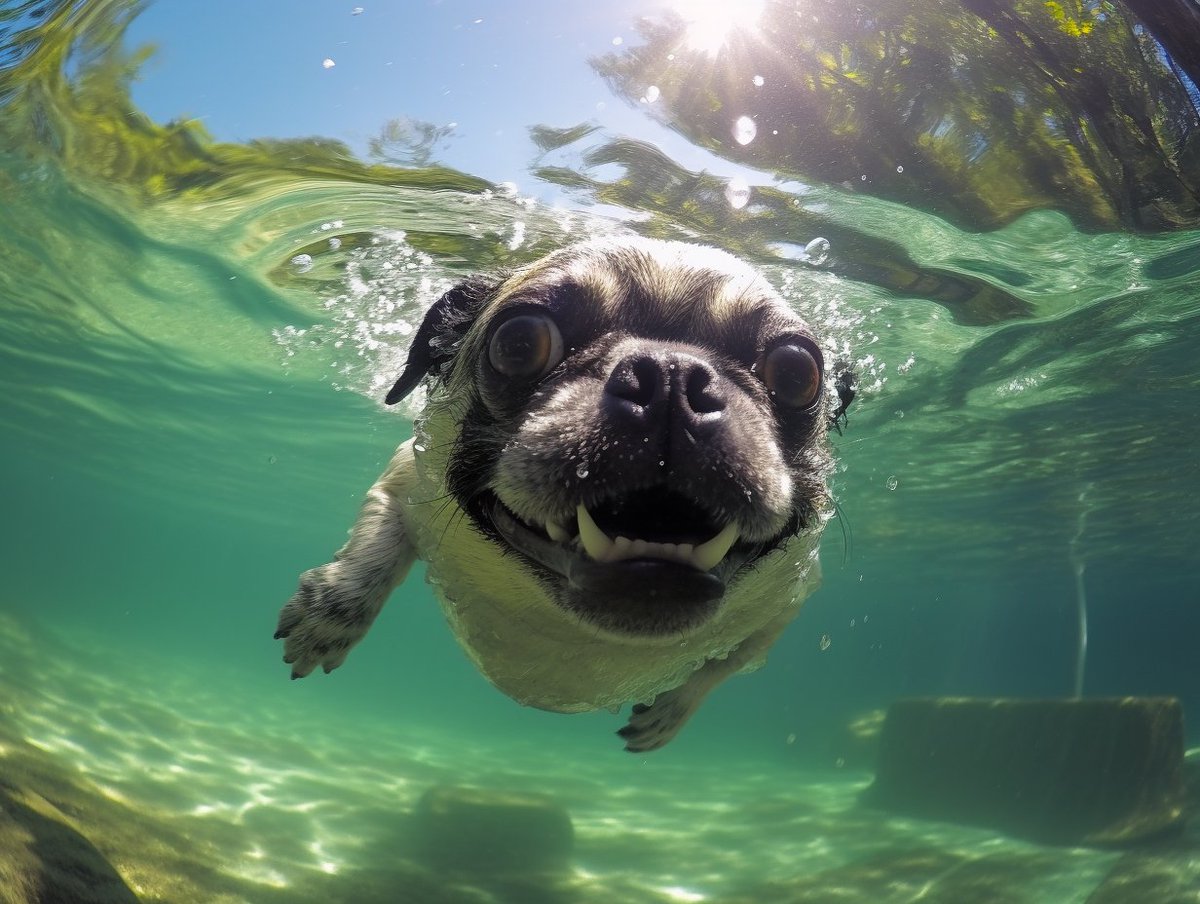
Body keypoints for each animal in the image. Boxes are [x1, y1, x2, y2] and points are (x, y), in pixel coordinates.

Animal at [274, 236, 849, 749]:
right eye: (519, 344)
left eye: (796, 373)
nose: (671, 372)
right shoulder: (407, 484)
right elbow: (375, 549)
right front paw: (330, 614)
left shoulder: (786, 601)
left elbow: (719, 670)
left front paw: (668, 714)